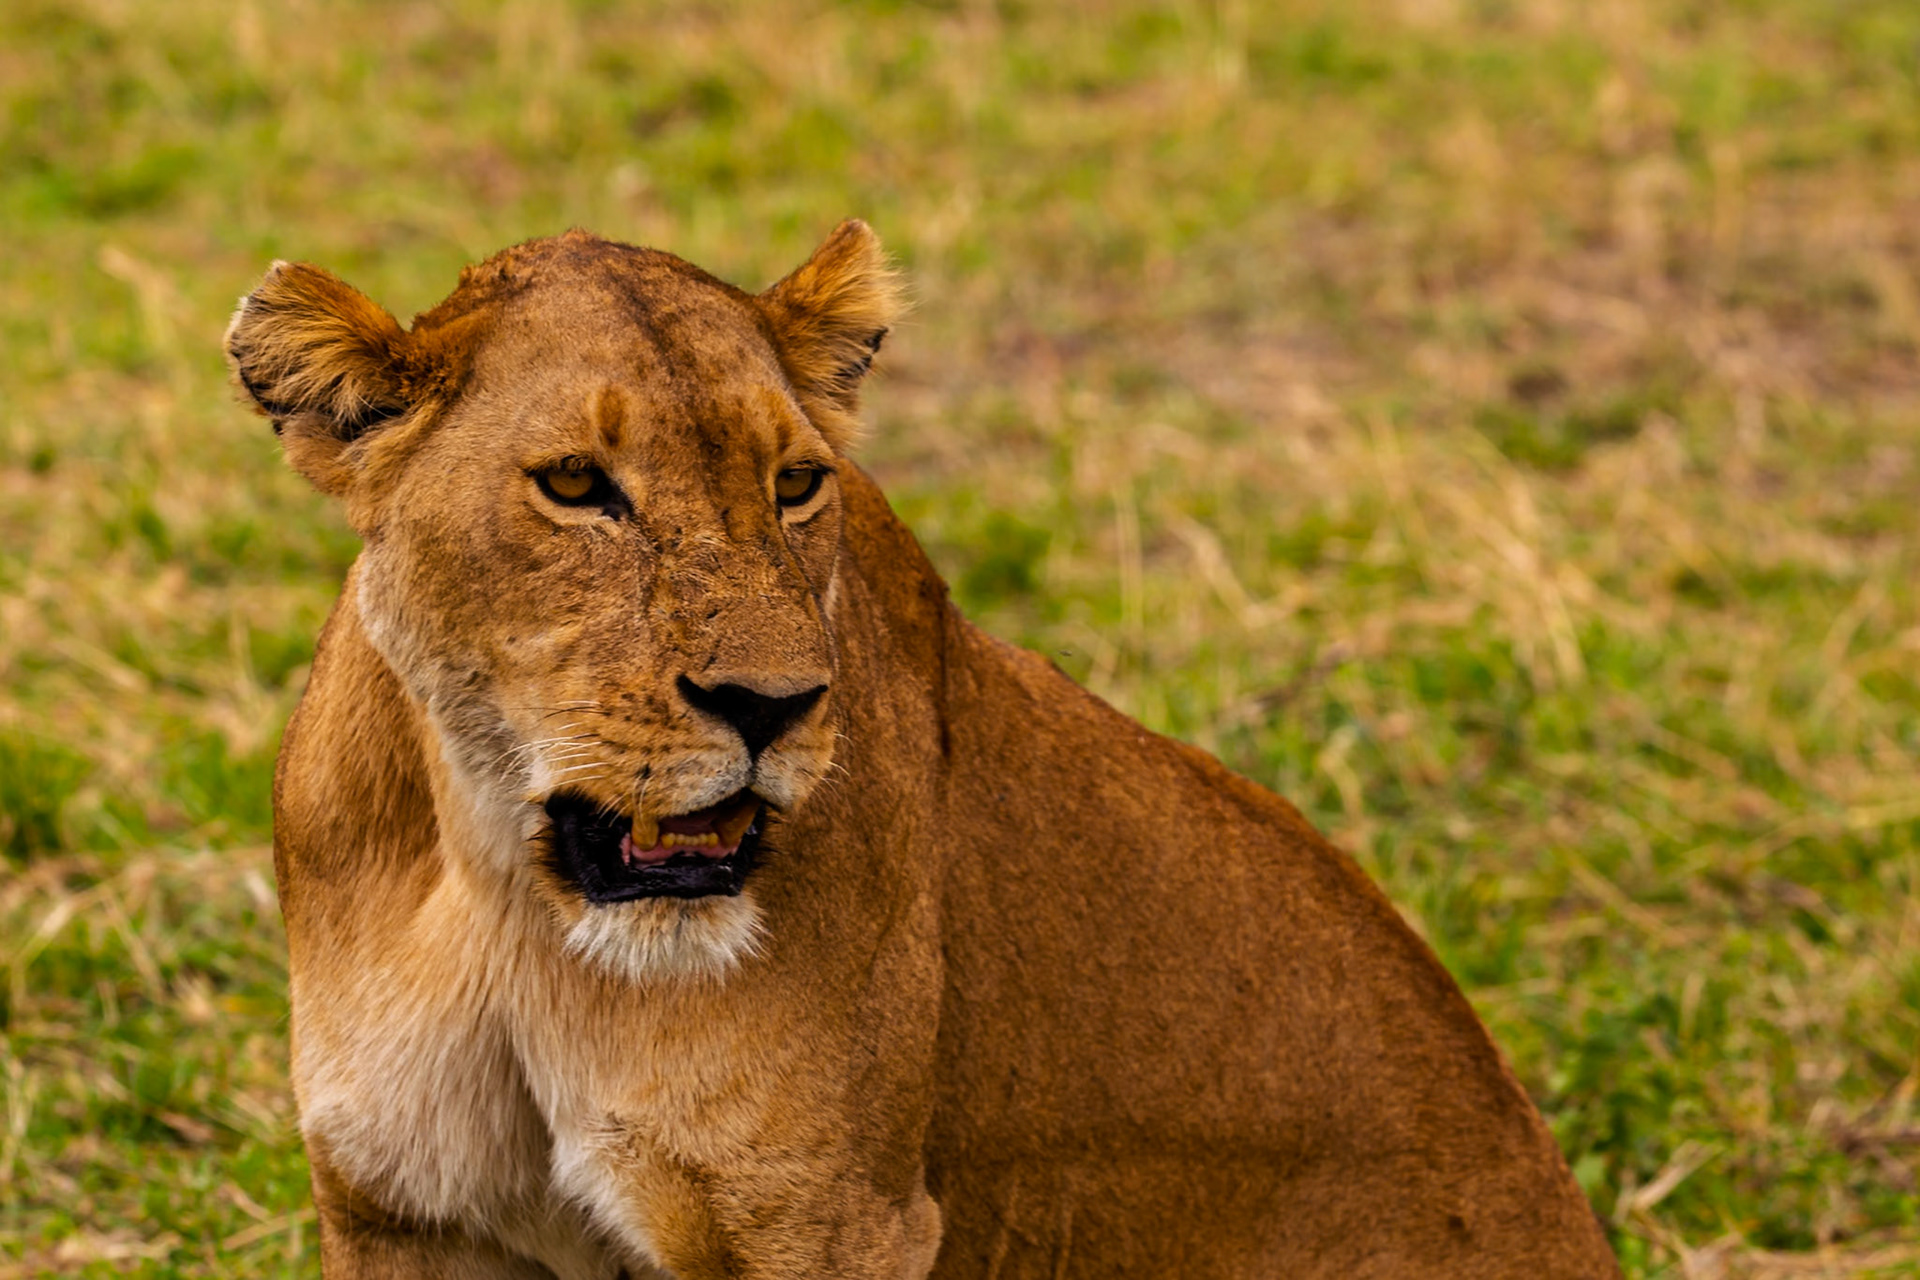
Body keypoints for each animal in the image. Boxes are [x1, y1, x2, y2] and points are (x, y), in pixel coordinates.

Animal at [225, 222, 1620, 1279]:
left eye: (797, 483)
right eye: (574, 484)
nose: (772, 704)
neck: (509, 904)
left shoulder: (829, 1220)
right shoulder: (396, 1208)